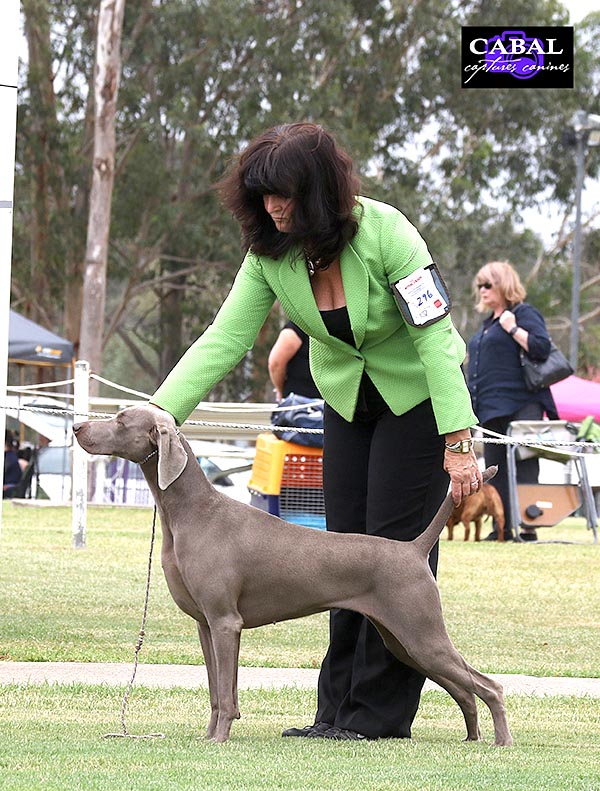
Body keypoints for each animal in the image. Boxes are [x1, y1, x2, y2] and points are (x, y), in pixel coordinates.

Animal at [74, 406, 510, 744]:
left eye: (120, 420)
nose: (77, 427)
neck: (192, 513)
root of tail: (413, 548)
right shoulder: (205, 624)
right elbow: (215, 691)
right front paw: (208, 735)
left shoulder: (226, 622)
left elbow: (227, 695)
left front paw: (219, 739)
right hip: (402, 640)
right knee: (464, 689)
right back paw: (472, 736)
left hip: (421, 633)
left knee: (490, 686)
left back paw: (501, 742)